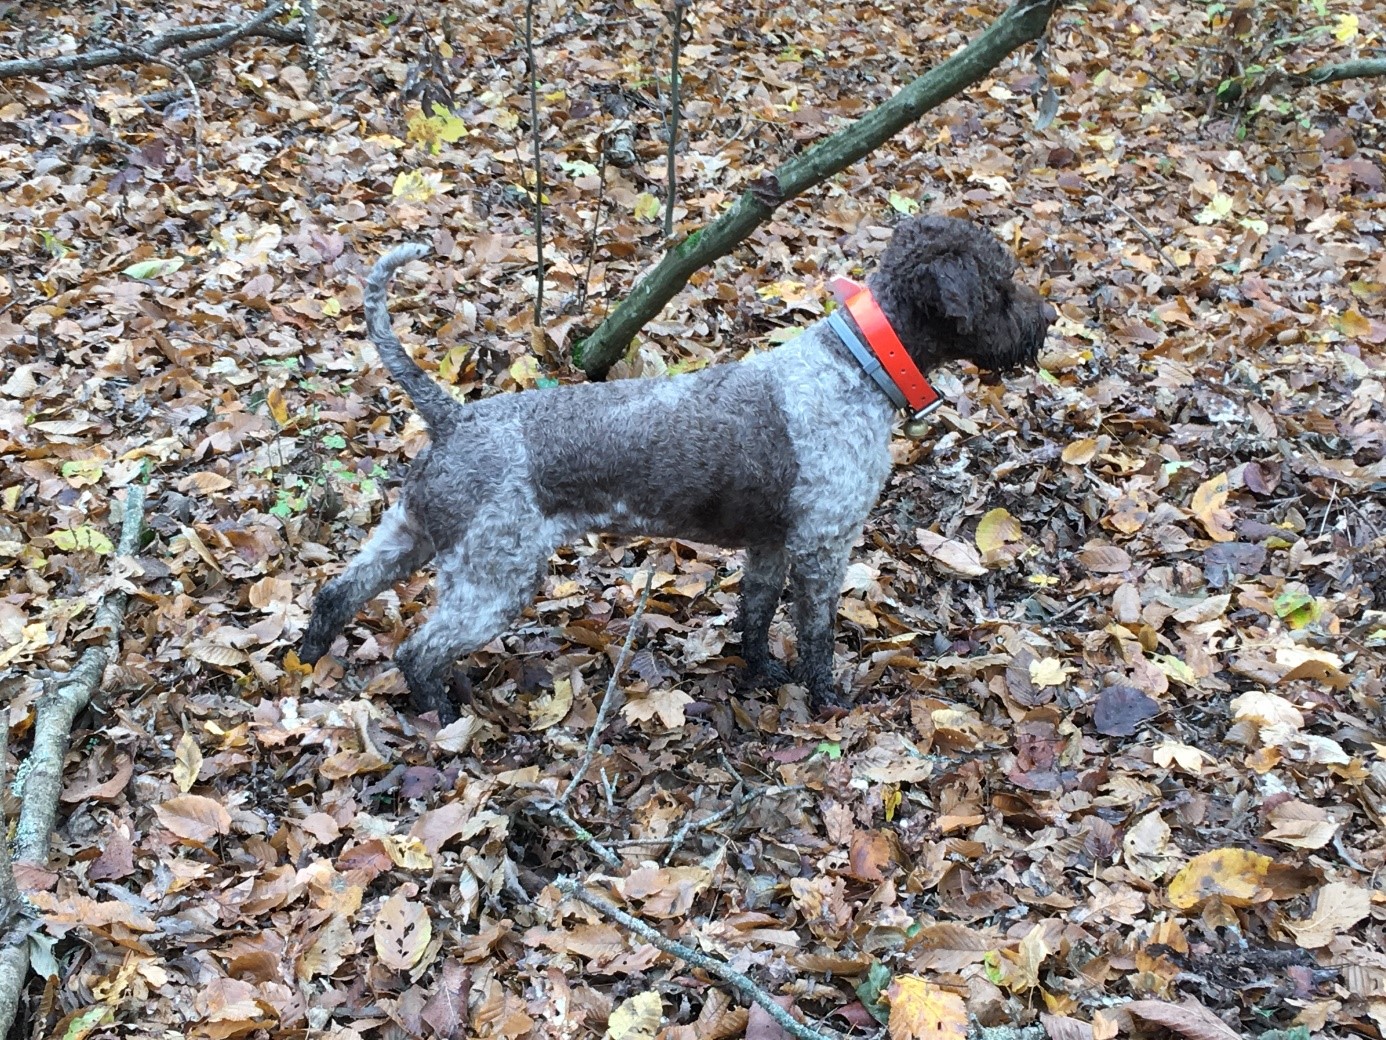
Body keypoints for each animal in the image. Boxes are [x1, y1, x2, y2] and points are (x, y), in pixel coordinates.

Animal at [297, 217, 1053, 726]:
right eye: (1000, 285)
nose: (1048, 316)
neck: (859, 366)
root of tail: (452, 417)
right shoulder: (823, 544)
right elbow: (816, 632)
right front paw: (827, 698)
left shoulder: (772, 544)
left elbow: (754, 614)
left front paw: (760, 673)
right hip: (495, 575)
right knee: (418, 650)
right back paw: (446, 718)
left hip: (411, 534)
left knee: (336, 591)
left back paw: (308, 660)